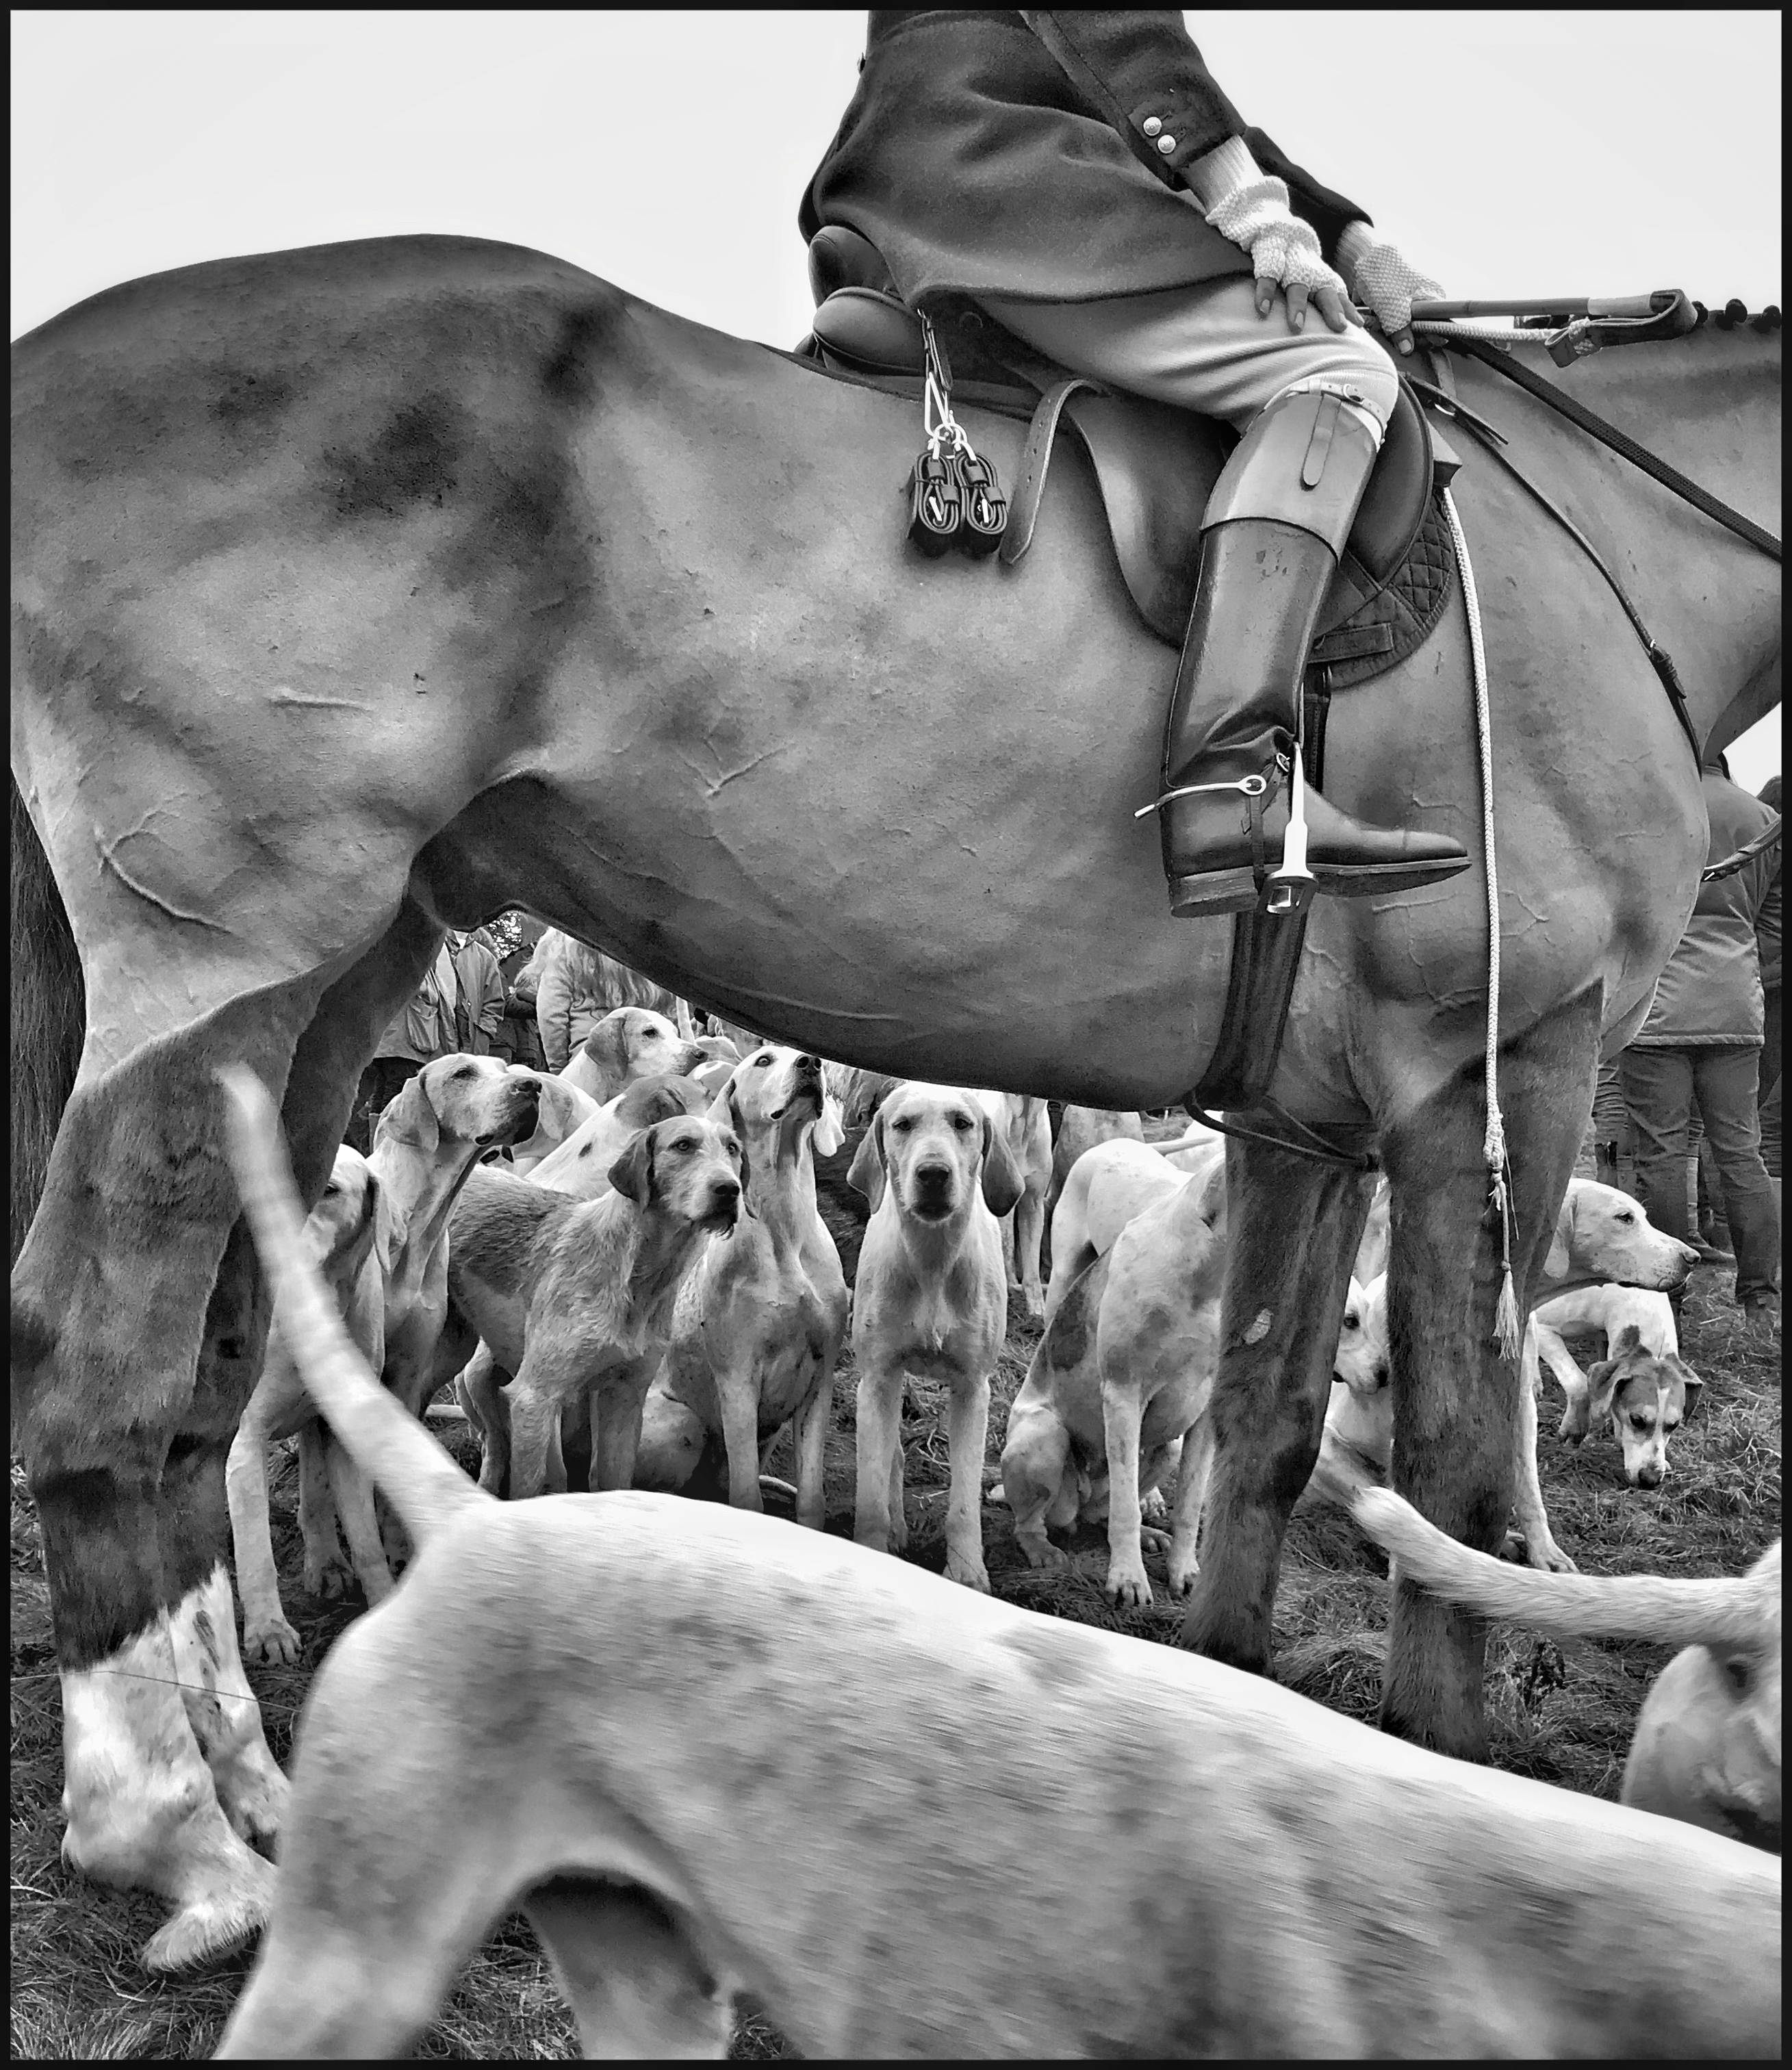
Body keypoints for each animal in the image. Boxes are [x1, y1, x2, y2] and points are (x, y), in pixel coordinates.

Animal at [10, 235, 1771, 1962]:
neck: (1597, 554)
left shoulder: (1305, 1128)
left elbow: (1263, 1428)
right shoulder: (1500, 1069)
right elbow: (1460, 1460)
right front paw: (1453, 1764)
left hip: (331, 1004)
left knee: (205, 1391)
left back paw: (244, 1778)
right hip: (220, 965)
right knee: (101, 1383)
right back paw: (170, 1833)